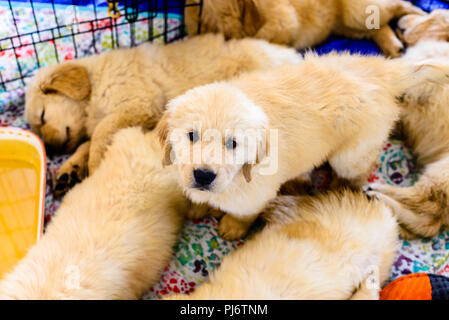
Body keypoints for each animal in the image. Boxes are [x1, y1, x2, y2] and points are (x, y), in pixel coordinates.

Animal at [26, 33, 302, 194]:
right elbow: (87, 141)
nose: (51, 150)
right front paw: (69, 170)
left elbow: (101, 132)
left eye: (42, 116)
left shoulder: (140, 105)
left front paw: (94, 165)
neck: (94, 85)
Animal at [157, 51, 448, 239]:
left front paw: (232, 226)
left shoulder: (256, 194)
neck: (236, 178)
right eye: (191, 135)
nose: (204, 175)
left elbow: (244, 213)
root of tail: (382, 71)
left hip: (351, 153)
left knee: (362, 171)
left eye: (233, 143)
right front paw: (198, 205)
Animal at [366, 11, 449, 238]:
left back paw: (379, 193)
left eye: (431, 15)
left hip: (441, 171)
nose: (399, 20)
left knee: (426, 206)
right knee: (429, 221)